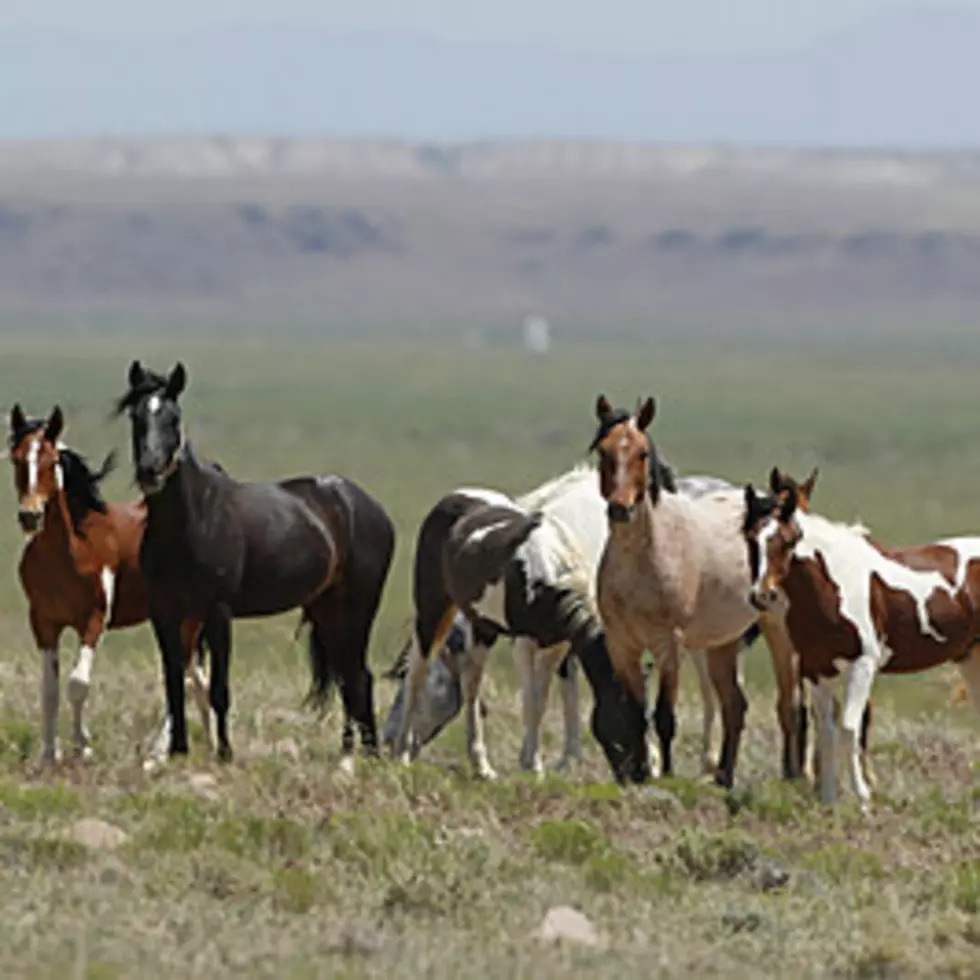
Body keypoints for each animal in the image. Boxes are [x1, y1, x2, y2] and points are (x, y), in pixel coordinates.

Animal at [7, 402, 211, 760]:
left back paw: (157, 753)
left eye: (50, 461)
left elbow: (77, 684)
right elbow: (49, 689)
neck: (72, 549)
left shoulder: (94, 619)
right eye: (16, 459)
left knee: (184, 678)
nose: (30, 516)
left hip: (189, 619)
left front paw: (83, 746)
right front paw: (49, 754)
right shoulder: (44, 623)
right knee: (197, 679)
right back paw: (212, 745)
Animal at [111, 360, 394, 772]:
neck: (192, 520)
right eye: (136, 416)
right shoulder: (164, 612)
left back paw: (368, 755)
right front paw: (178, 751)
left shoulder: (217, 612)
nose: (151, 471)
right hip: (327, 610)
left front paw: (225, 753)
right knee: (347, 677)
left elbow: (219, 689)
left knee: (360, 676)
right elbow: (174, 684)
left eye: (174, 417)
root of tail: (367, 505)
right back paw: (348, 753)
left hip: (358, 607)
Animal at [378, 468, 760, 780]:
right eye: (617, 724)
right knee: (427, 672)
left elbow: (551, 693)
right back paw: (407, 756)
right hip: (436, 609)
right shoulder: (532, 640)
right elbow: (541, 697)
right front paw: (541, 762)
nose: (636, 776)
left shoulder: (562, 639)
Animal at [580, 394, 804, 784]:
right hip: (723, 642)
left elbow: (664, 717)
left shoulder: (669, 644)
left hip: (778, 631)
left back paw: (792, 777)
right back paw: (724, 778)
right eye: (603, 450)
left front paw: (666, 774)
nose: (620, 509)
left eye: (642, 453)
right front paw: (642, 775)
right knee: (734, 705)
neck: (642, 561)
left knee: (789, 705)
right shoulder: (622, 645)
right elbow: (637, 715)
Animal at [744, 476, 980, 812]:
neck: (833, 584)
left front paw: (864, 801)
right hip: (971, 660)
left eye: (788, 540)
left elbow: (849, 730)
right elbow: (827, 732)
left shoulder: (862, 666)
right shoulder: (816, 671)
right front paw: (828, 802)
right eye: (751, 538)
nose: (762, 596)